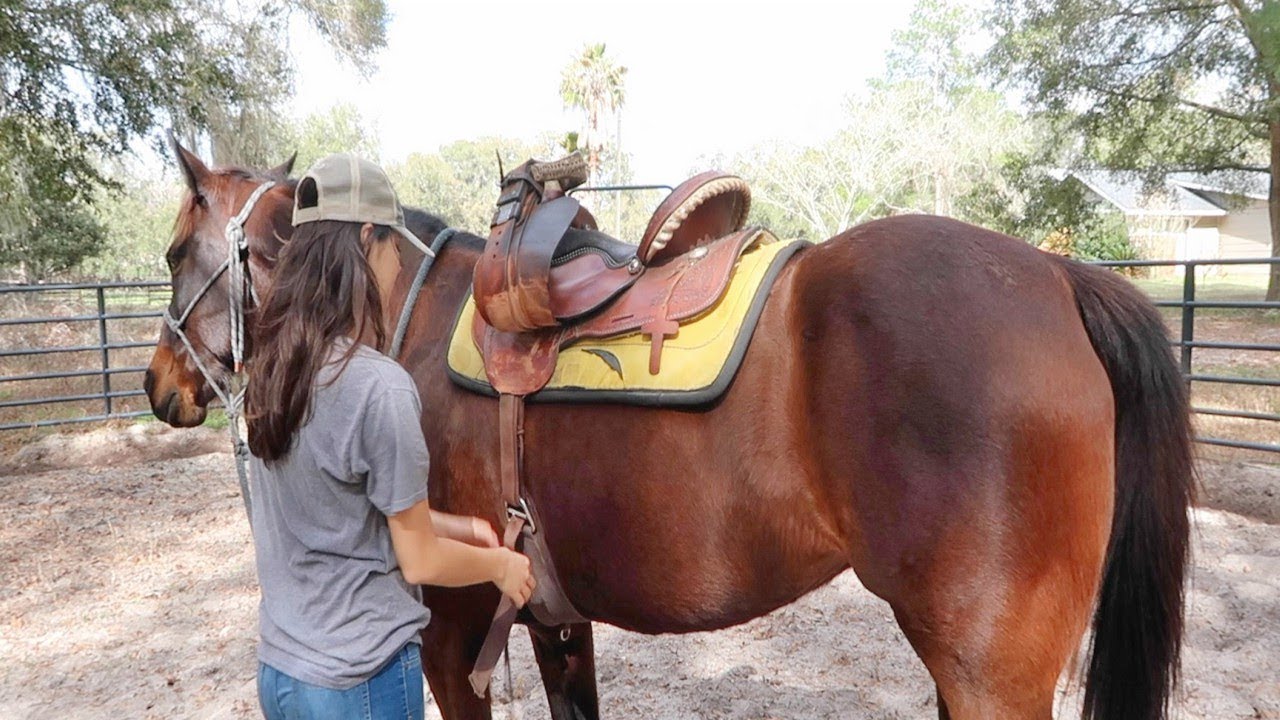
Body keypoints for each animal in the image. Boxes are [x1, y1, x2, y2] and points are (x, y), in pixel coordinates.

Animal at [144, 142, 1194, 720]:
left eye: (171, 252)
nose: (161, 386)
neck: (408, 324)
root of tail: (1059, 275)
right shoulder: (552, 617)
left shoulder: (451, 637)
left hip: (991, 675)